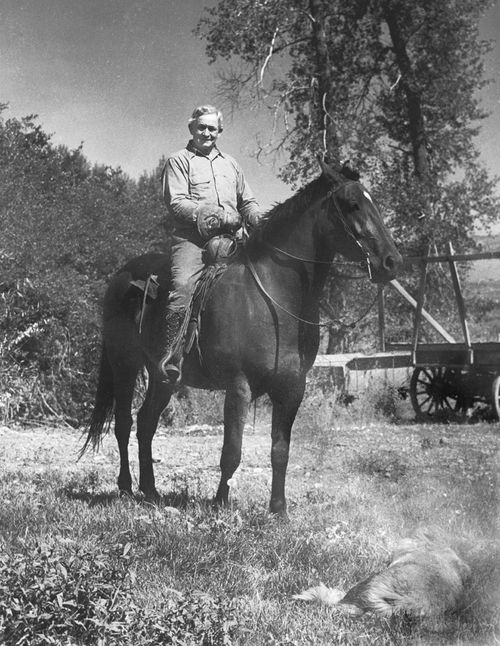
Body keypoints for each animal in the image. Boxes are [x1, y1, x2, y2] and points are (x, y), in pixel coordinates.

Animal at [82, 158, 402, 516]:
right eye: (351, 204)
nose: (392, 261)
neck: (273, 295)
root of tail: (122, 277)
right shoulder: (239, 386)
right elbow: (231, 452)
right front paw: (220, 503)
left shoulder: (292, 388)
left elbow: (280, 451)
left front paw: (278, 510)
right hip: (124, 365)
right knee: (124, 423)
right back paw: (125, 487)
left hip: (162, 376)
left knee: (146, 423)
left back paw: (150, 491)